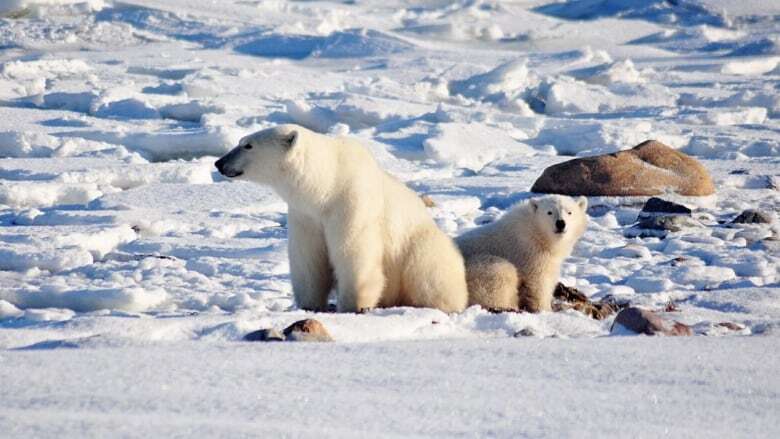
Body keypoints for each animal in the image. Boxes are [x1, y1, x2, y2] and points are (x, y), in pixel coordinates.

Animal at [216, 125, 466, 314]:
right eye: (241, 141)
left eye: (248, 145)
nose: (219, 163)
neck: (327, 185)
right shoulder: (306, 215)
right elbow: (308, 259)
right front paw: (309, 305)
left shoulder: (351, 204)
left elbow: (354, 253)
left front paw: (353, 306)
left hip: (419, 246)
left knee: (429, 272)